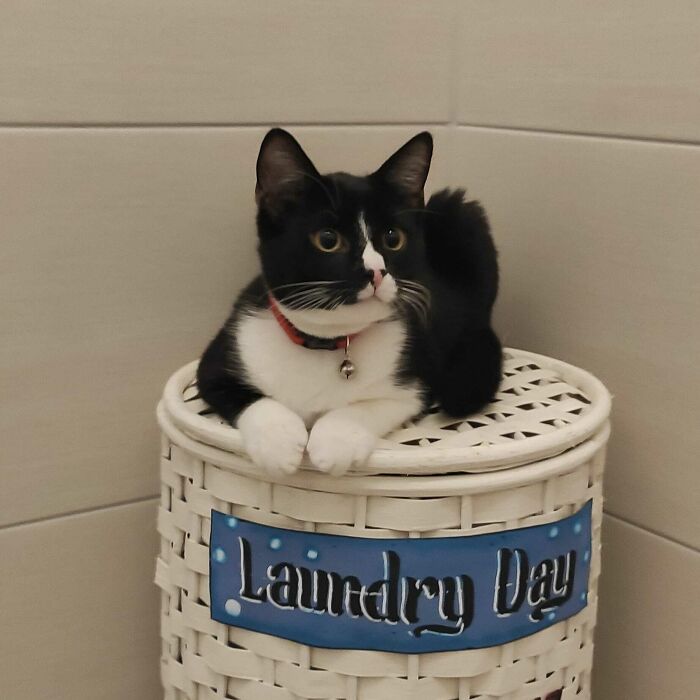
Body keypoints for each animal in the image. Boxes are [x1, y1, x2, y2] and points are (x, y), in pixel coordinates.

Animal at [197, 129, 504, 476]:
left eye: (393, 238)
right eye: (328, 239)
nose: (376, 272)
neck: (324, 342)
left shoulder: (417, 380)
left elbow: (372, 405)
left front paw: (336, 440)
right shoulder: (219, 358)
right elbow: (245, 396)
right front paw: (278, 442)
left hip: (461, 217)